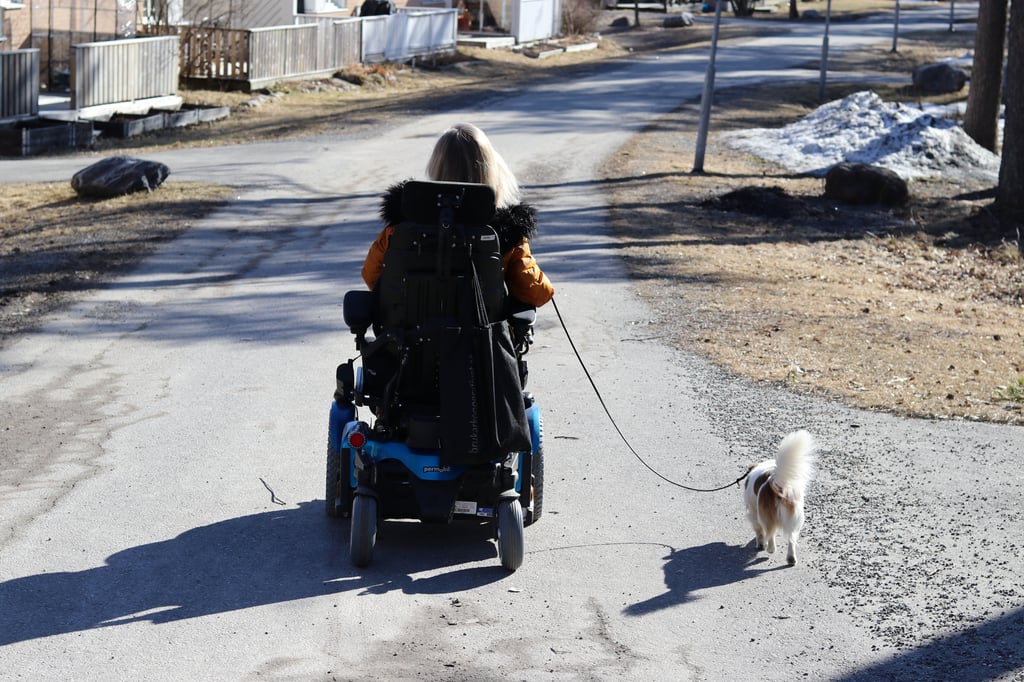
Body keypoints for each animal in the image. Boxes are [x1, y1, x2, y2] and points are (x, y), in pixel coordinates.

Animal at [745, 428, 815, 565]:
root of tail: (777, 483)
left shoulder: (753, 512)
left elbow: (759, 531)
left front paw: (760, 544)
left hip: (766, 516)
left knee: (771, 533)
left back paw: (771, 549)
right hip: (795, 518)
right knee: (791, 539)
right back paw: (791, 558)